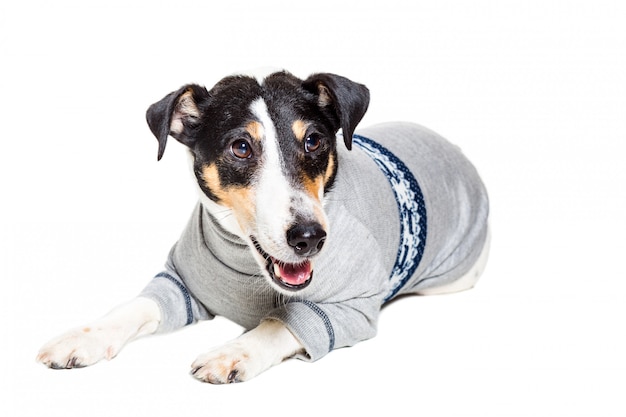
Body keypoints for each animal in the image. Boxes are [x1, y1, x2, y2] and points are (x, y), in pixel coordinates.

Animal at [36, 69, 490, 384]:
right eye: (241, 147)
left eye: (314, 140)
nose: (310, 237)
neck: (246, 263)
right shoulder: (181, 282)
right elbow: (135, 306)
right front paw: (80, 338)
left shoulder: (354, 310)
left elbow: (280, 322)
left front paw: (233, 352)